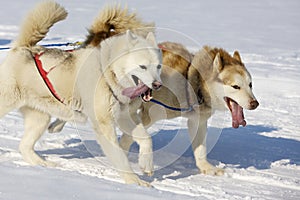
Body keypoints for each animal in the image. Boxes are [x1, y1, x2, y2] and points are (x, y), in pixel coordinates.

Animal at [0, 1, 162, 186]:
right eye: (142, 67)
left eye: (158, 66)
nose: (157, 84)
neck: (108, 73)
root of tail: (25, 47)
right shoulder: (104, 124)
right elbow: (119, 155)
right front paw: (133, 181)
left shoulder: (124, 117)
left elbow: (146, 138)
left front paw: (146, 165)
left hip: (40, 119)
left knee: (24, 147)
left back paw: (44, 165)